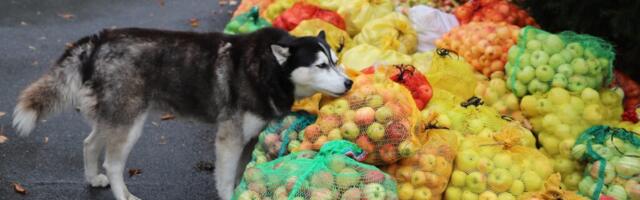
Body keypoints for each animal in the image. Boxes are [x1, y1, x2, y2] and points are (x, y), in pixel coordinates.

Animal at [12, 27, 352, 200]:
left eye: (337, 61)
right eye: (321, 65)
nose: (349, 83)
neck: (268, 68)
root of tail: (100, 39)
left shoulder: (249, 137)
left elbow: (241, 175)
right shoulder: (229, 138)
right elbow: (226, 179)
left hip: (115, 116)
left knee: (89, 142)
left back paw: (93, 178)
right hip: (130, 123)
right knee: (114, 163)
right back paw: (123, 193)